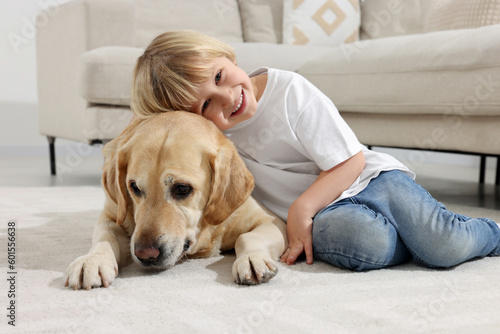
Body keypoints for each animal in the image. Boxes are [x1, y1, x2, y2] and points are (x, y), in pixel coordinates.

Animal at [64, 111, 288, 288]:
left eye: (182, 188)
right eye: (134, 187)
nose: (145, 253)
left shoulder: (271, 221)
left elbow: (247, 237)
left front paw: (251, 258)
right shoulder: (111, 215)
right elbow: (105, 237)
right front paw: (92, 261)